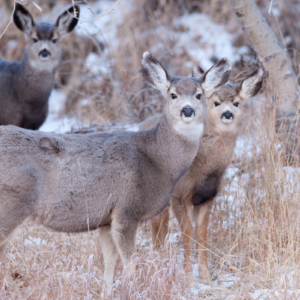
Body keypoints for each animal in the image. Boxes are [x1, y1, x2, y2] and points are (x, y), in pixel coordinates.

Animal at [0, 52, 231, 296]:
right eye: (173, 94)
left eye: (199, 95)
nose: (187, 110)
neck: (158, 161)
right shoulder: (126, 210)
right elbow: (130, 263)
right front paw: (131, 291)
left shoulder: (105, 218)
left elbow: (110, 261)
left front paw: (106, 293)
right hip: (11, 203)